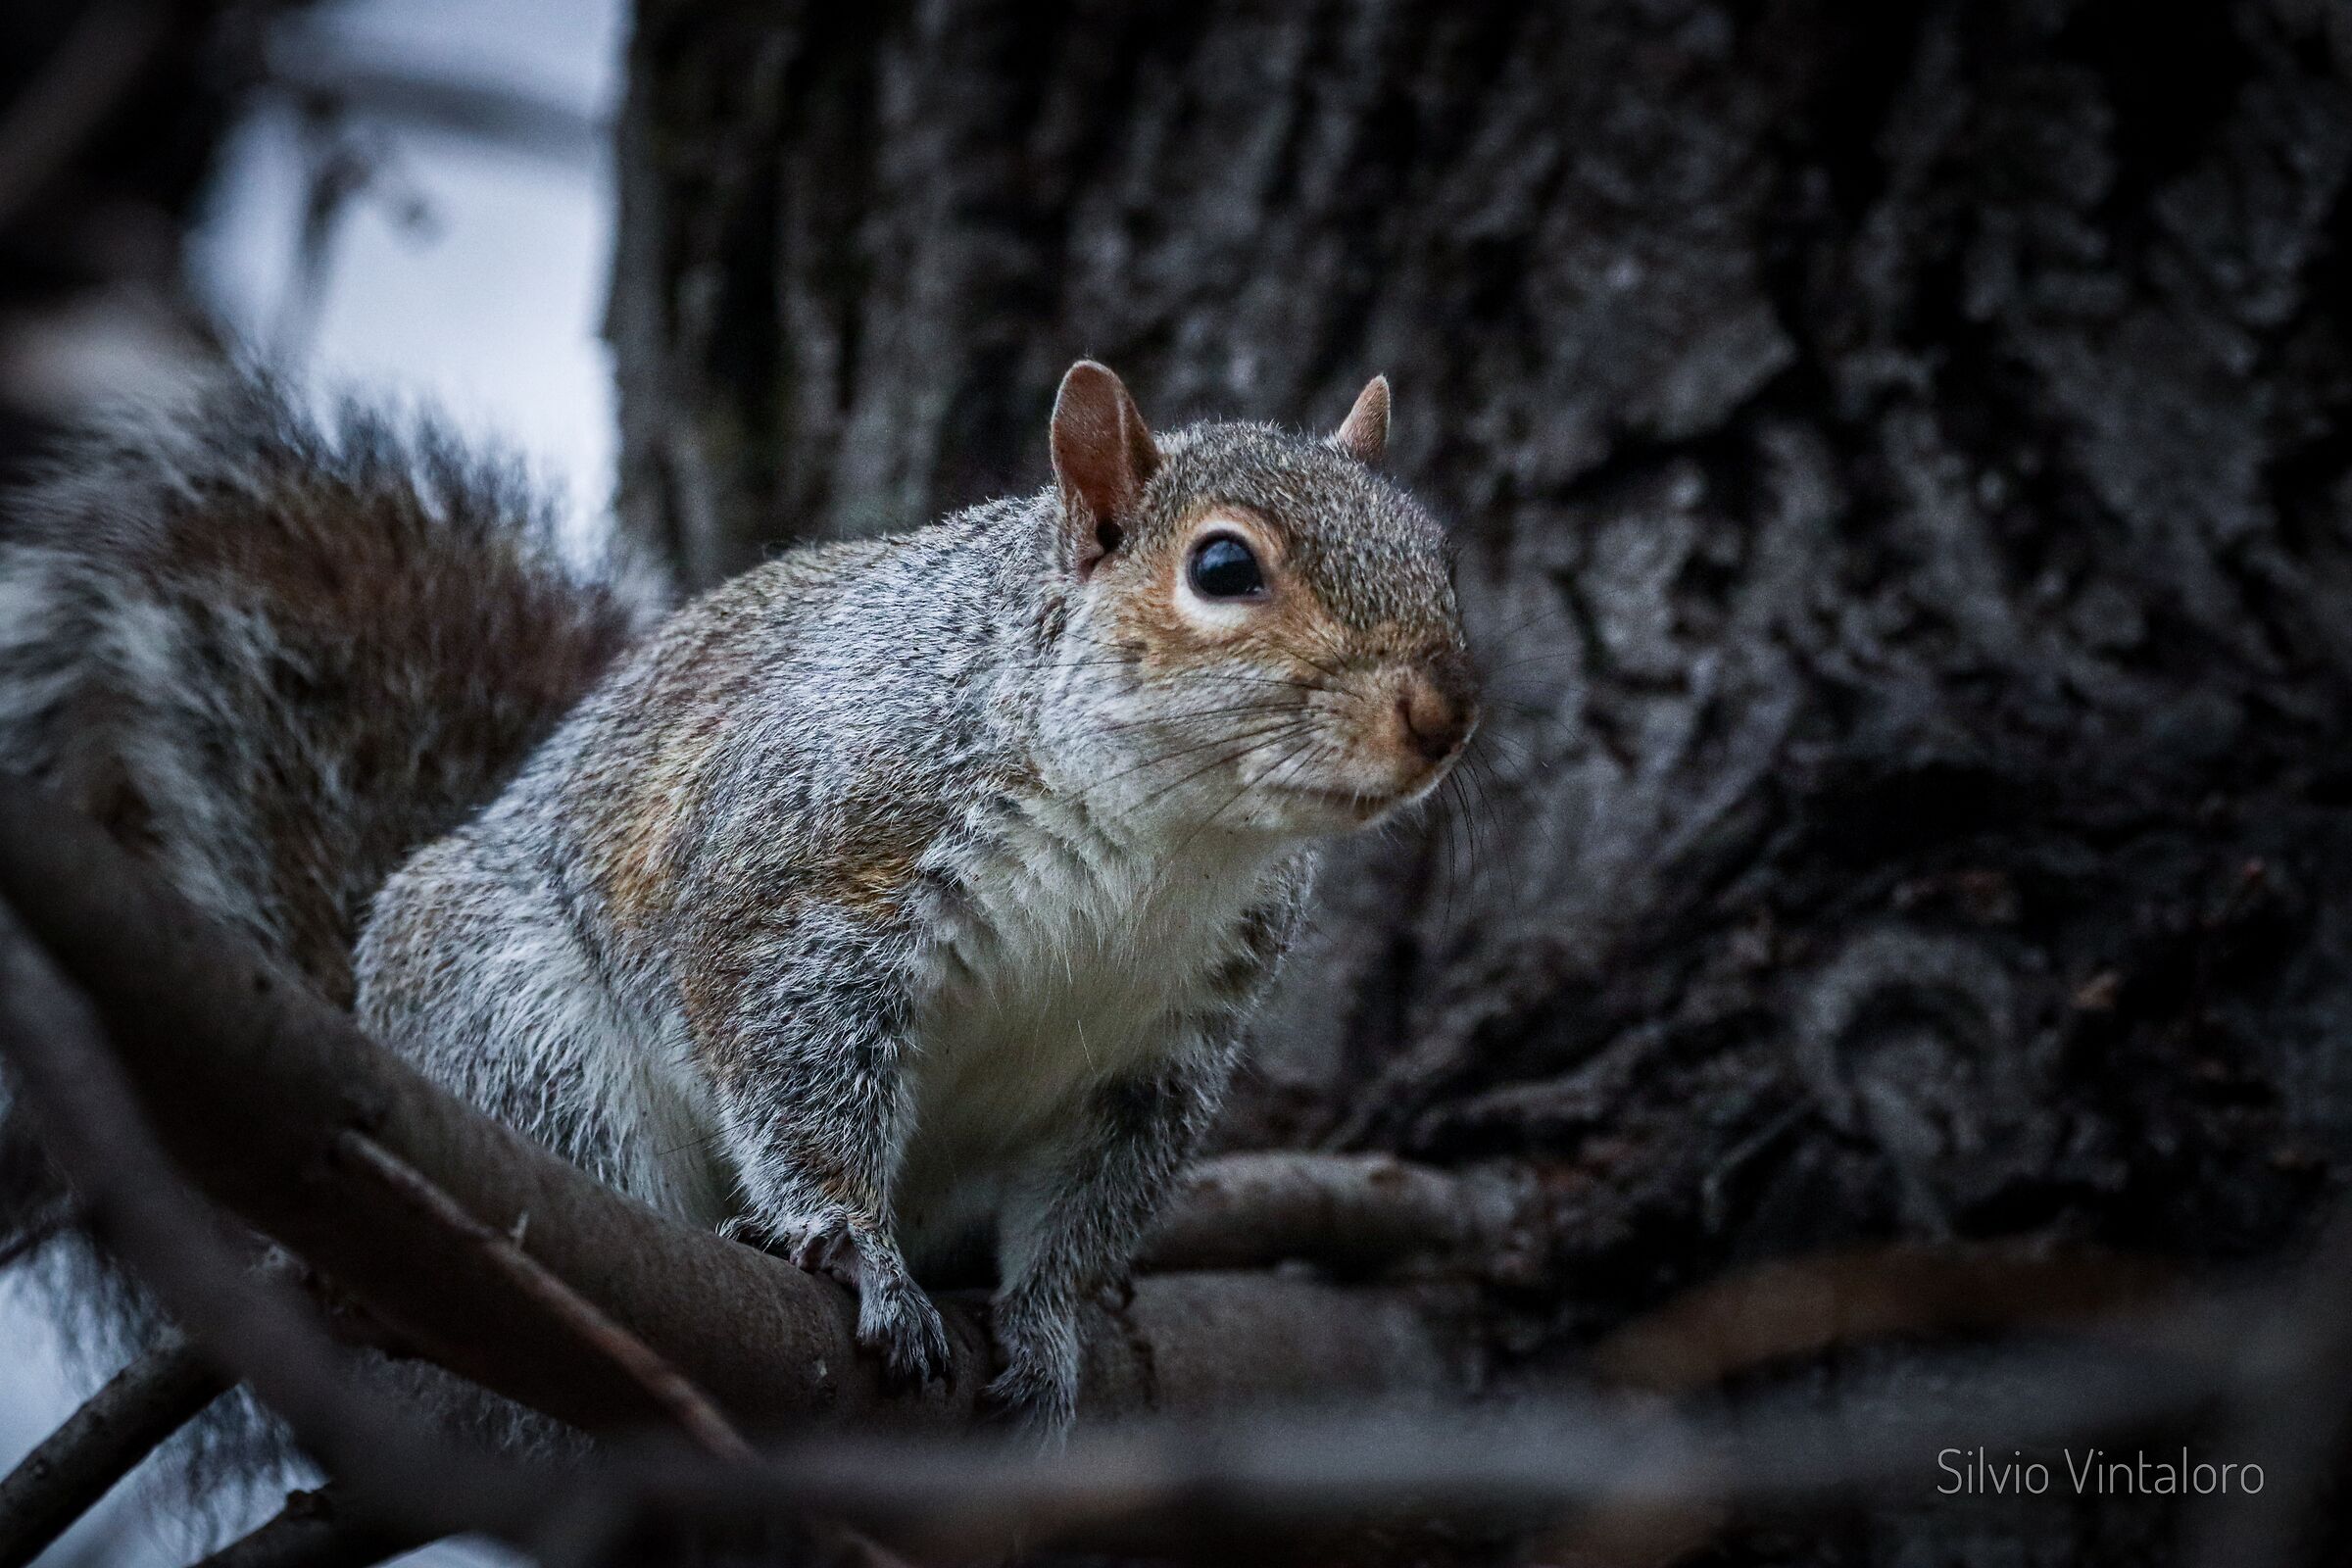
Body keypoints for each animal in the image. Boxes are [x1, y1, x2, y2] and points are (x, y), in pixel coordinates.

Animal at [0, 360, 1477, 1434]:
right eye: (1223, 568)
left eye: (1441, 553)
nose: (1443, 713)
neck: (1166, 838)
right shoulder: (815, 884)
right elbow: (791, 1070)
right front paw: (855, 1247)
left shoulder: (1165, 1050)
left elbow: (1090, 1205)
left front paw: (1049, 1322)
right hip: (516, 1034)